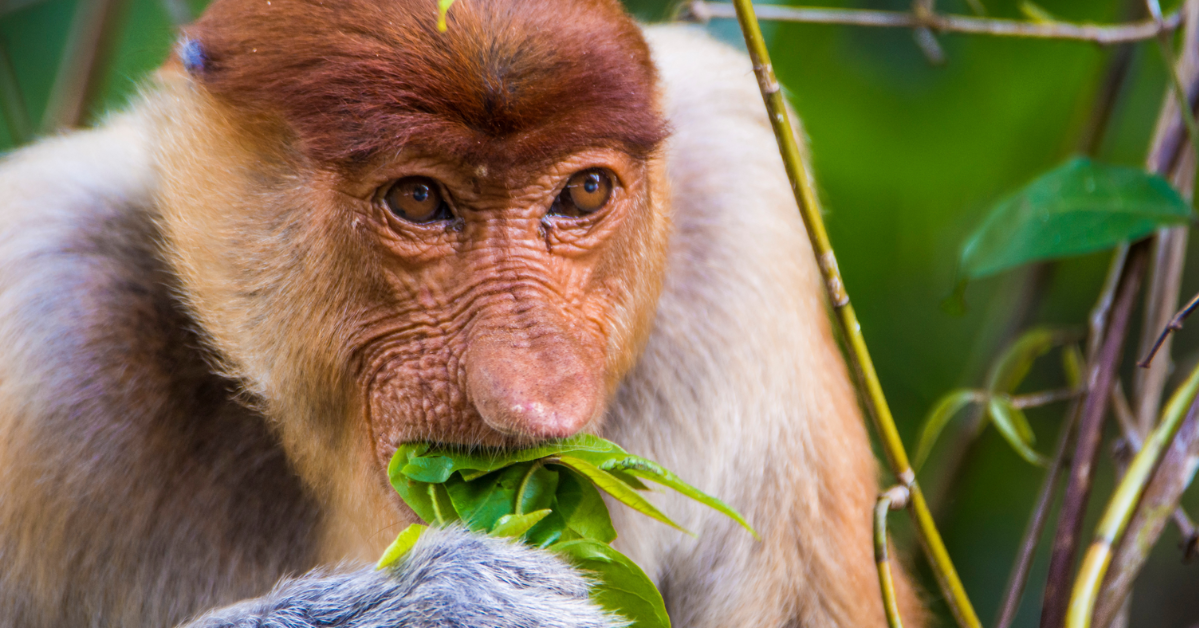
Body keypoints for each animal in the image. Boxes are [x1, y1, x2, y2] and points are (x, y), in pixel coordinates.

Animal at [0, 0, 920, 623]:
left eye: (584, 191)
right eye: (417, 199)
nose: (535, 398)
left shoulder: (741, 221)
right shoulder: (40, 316)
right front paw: (441, 600)